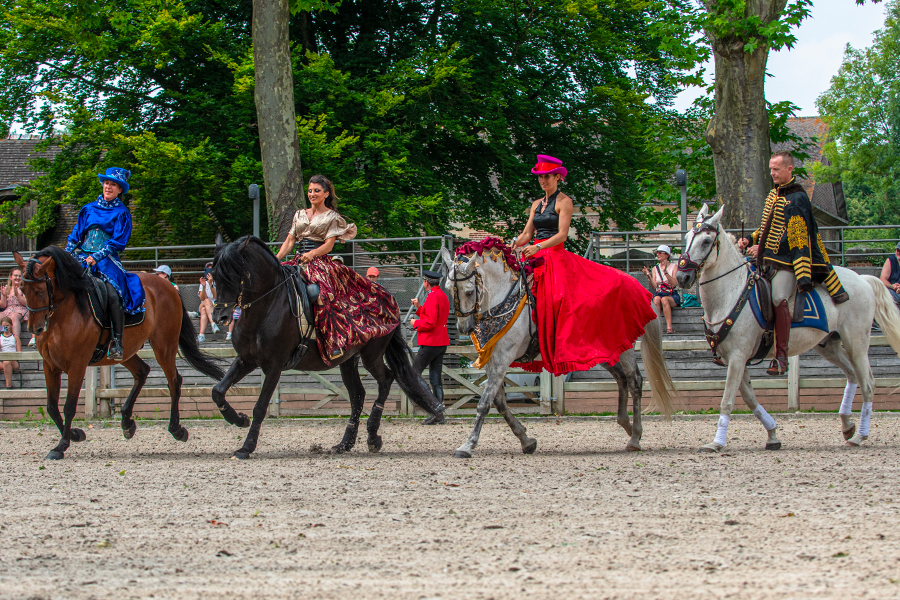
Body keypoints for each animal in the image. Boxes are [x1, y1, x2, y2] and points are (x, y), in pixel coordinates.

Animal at [14, 246, 227, 462]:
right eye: (22, 289)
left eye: (40, 291)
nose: (35, 329)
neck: (63, 313)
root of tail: (166, 285)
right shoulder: (50, 365)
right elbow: (51, 406)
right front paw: (75, 434)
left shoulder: (77, 365)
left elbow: (69, 406)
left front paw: (62, 445)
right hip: (126, 351)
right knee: (142, 371)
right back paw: (127, 422)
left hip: (164, 345)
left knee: (174, 381)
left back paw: (176, 429)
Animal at [208, 236, 446, 460]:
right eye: (214, 278)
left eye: (233, 275)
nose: (220, 317)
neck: (266, 305)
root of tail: (388, 295)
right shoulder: (246, 359)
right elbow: (217, 391)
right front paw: (238, 419)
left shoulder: (274, 366)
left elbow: (260, 406)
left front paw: (246, 447)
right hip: (348, 359)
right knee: (358, 395)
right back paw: (345, 443)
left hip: (372, 354)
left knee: (385, 380)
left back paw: (372, 437)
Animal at [442, 241, 676, 458]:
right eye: (448, 289)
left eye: (469, 291)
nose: (464, 328)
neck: (502, 300)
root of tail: (639, 287)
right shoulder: (493, 361)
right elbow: (498, 401)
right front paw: (526, 440)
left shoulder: (503, 358)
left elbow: (484, 402)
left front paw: (468, 445)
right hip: (606, 351)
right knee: (621, 379)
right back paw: (626, 424)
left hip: (624, 348)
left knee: (635, 380)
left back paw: (635, 436)